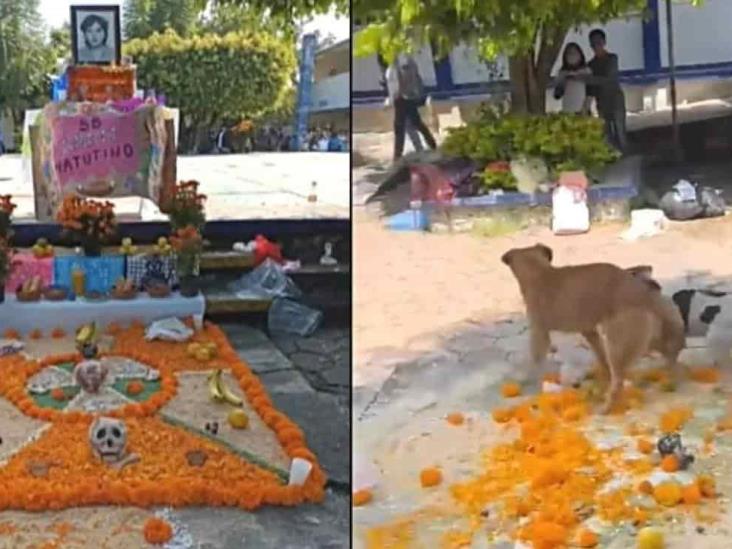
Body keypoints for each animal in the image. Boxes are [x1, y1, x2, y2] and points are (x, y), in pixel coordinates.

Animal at [500, 243, 684, 412]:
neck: (539, 272)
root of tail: (644, 295)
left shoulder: (539, 332)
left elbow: (535, 361)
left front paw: (529, 381)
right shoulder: (590, 332)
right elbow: (601, 359)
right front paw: (603, 377)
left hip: (617, 345)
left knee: (618, 382)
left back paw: (607, 407)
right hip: (646, 339)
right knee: (670, 357)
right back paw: (673, 377)